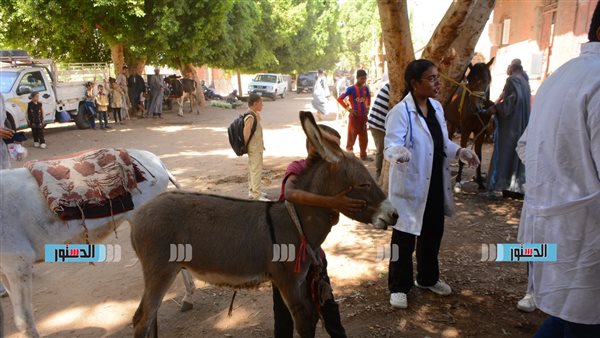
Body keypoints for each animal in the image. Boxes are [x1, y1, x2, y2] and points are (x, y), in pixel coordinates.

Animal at [129, 111, 396, 338]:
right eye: (363, 184)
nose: (394, 214)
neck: (296, 222)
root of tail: (139, 213)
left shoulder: (299, 282)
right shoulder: (288, 281)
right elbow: (305, 323)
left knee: (149, 317)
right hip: (160, 270)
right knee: (142, 318)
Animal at [442, 58, 494, 190]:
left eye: (486, 80)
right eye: (469, 80)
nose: (476, 107)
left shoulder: (481, 132)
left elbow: (479, 156)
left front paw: (480, 182)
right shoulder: (465, 130)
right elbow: (462, 155)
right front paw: (458, 181)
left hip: (452, 123)